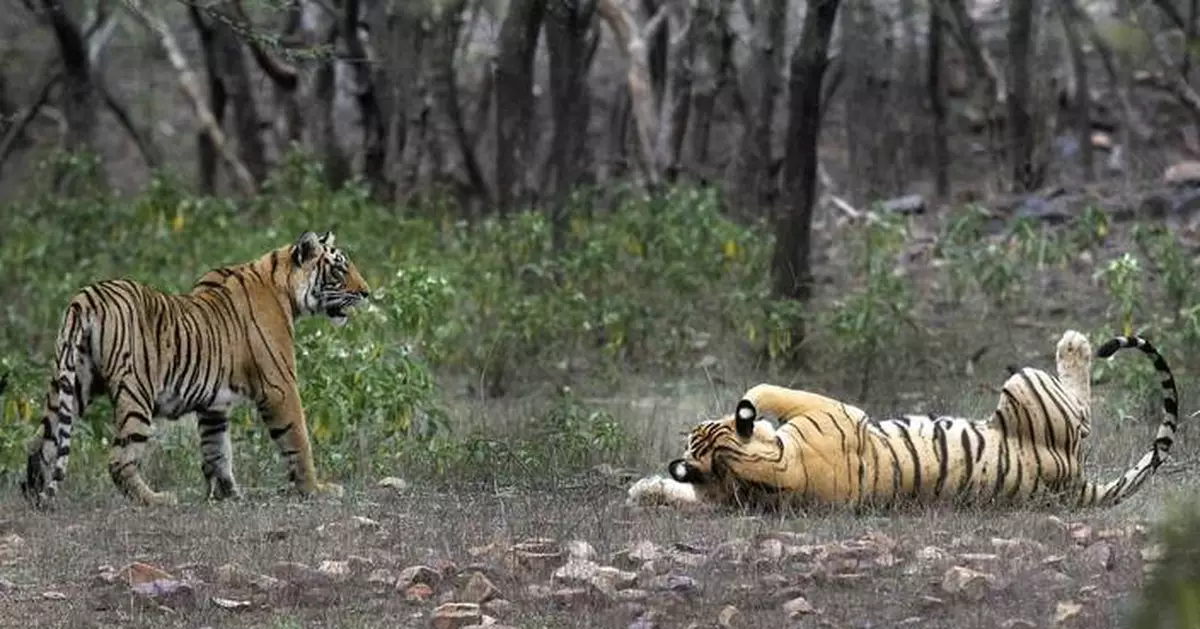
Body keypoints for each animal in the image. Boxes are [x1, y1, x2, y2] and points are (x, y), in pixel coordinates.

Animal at [21, 231, 370, 508]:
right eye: (340, 268)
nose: (366, 292)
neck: (283, 287)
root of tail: (86, 297)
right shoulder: (280, 386)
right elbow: (298, 440)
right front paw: (316, 489)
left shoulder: (214, 404)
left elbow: (217, 451)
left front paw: (229, 495)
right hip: (135, 392)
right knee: (119, 459)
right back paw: (157, 499)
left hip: (72, 383)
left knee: (41, 441)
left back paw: (33, 496)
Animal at [627, 329, 1179, 511]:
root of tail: (1076, 482)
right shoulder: (833, 410)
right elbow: (765, 391)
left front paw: (644, 489)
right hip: (1026, 384)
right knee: (1082, 412)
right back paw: (1075, 344)